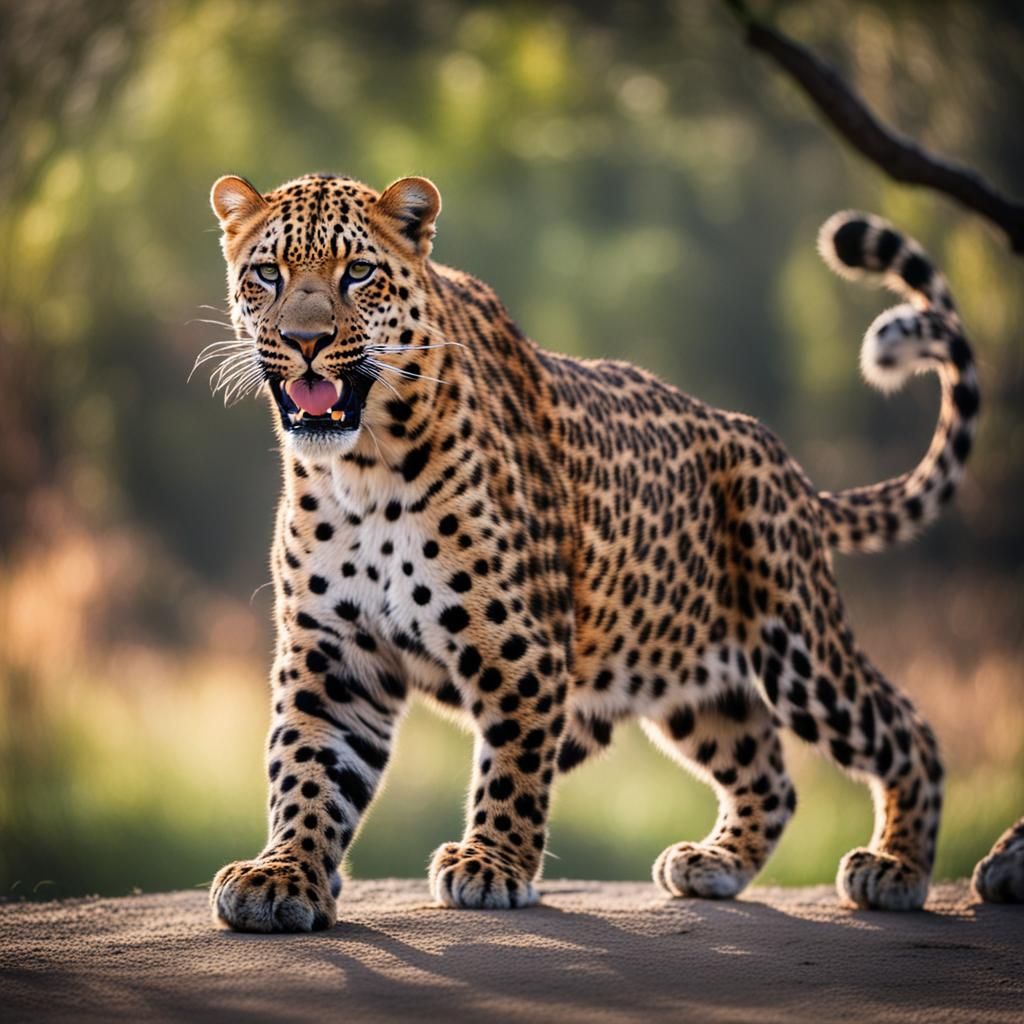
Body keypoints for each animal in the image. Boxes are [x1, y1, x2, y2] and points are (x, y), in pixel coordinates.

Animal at [204, 171, 982, 932]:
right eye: (268, 274)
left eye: (358, 272)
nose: (305, 339)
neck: (362, 469)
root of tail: (786, 465)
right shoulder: (333, 652)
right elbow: (308, 768)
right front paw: (285, 874)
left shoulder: (519, 646)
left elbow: (513, 764)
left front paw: (491, 865)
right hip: (692, 681)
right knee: (769, 773)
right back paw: (715, 861)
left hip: (795, 647)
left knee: (905, 729)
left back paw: (896, 868)